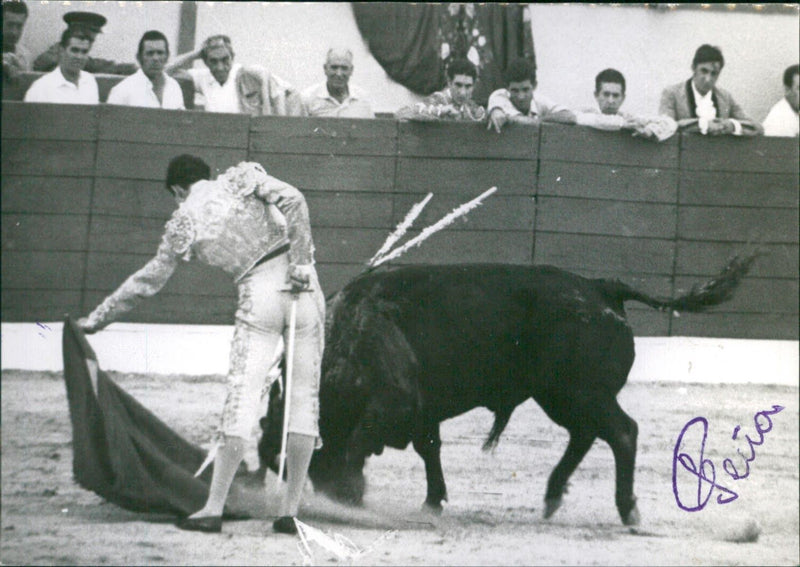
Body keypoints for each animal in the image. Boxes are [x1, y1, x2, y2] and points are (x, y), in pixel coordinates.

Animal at [260, 258, 752, 528]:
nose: (326, 493)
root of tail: (600, 288)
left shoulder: (395, 403)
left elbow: (358, 443)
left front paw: (350, 492)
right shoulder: (421, 412)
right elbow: (429, 449)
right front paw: (432, 502)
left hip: (580, 392)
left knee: (622, 432)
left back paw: (626, 509)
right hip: (561, 397)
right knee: (587, 435)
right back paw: (552, 497)